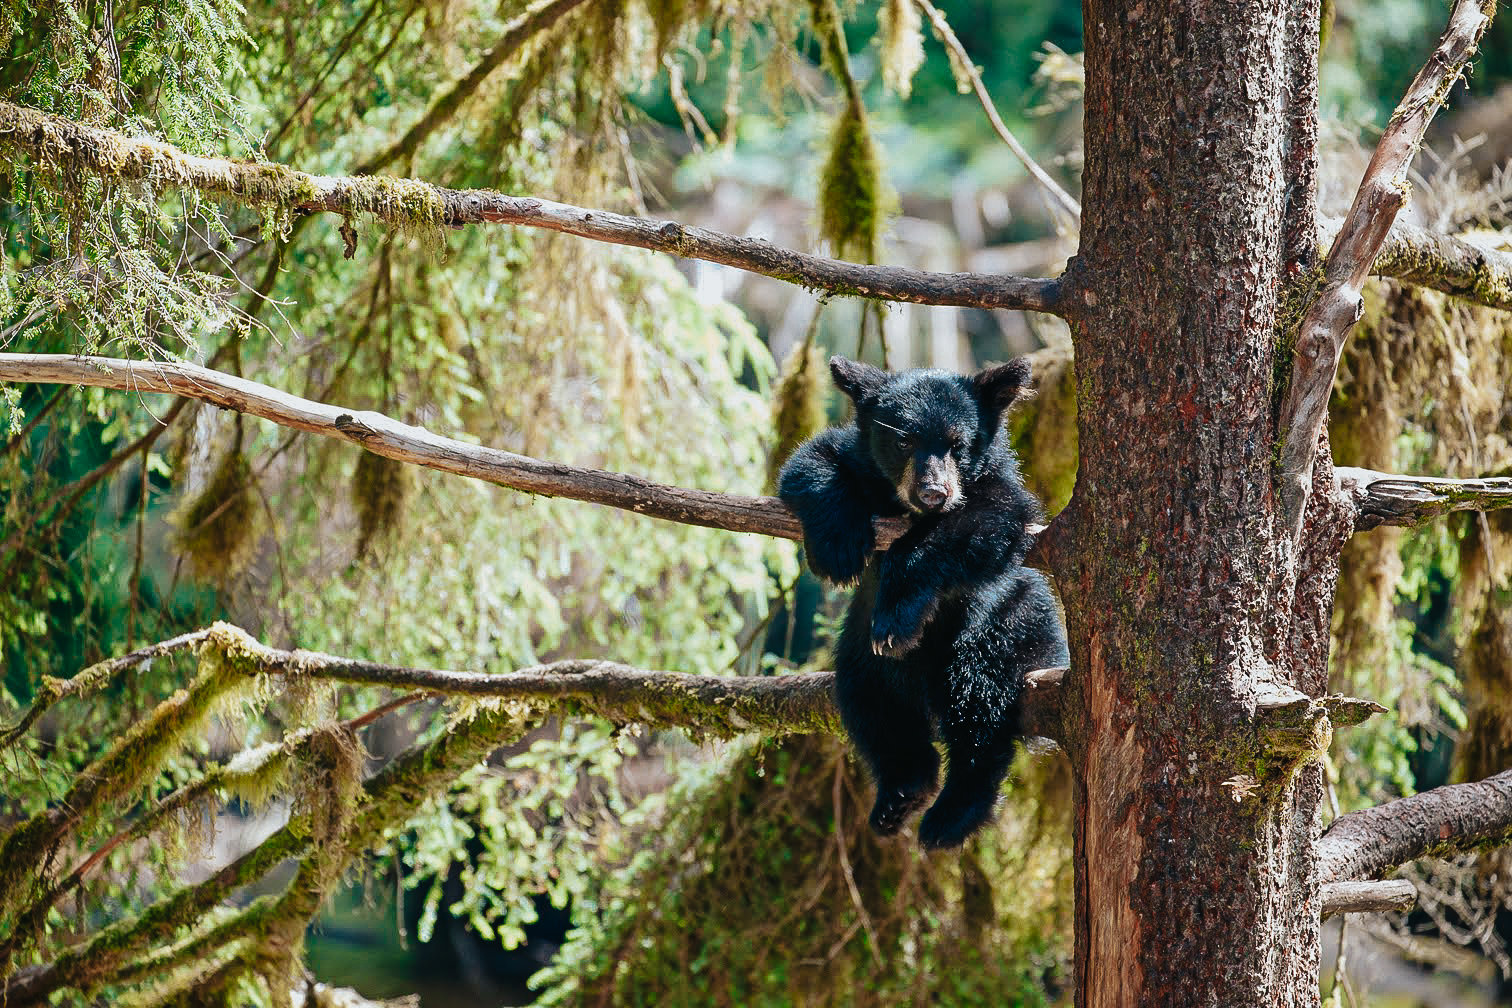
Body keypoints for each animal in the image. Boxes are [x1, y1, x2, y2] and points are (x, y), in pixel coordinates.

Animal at [777, 355, 1068, 850]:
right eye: (903, 441)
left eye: (958, 445)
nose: (933, 492)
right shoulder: (861, 461)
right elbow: (811, 461)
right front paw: (837, 547)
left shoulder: (999, 491)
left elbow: (987, 520)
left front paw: (897, 617)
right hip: (858, 653)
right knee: (872, 704)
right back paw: (901, 793)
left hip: (1009, 623)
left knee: (978, 702)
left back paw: (951, 815)